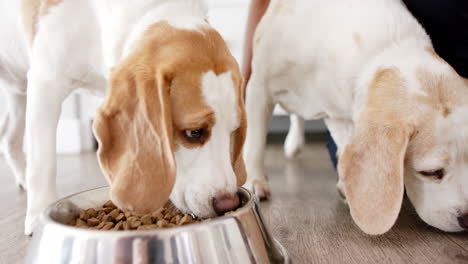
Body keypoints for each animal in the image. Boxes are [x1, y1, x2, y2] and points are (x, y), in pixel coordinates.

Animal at [0, 0, 247, 235]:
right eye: (194, 133)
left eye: (233, 131)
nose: (227, 203)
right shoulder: (45, 83)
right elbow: (43, 164)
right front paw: (37, 216)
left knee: (8, 138)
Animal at [243, 0, 468, 235]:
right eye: (431, 172)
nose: (467, 220)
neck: (384, 50)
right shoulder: (258, 88)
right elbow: (255, 143)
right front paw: (254, 181)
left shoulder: (341, 112)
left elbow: (345, 145)